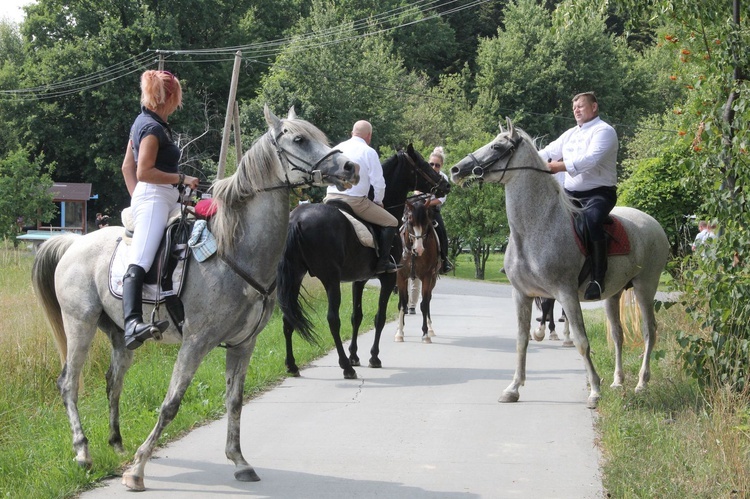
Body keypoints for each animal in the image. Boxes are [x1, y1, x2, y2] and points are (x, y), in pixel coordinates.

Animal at [30, 105, 358, 492]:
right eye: (299, 139)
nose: (350, 167)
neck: (234, 252)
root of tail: (73, 242)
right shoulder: (196, 341)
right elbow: (171, 404)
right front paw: (137, 470)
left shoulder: (243, 344)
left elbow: (235, 401)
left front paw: (239, 461)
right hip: (80, 324)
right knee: (68, 383)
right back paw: (83, 452)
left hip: (120, 335)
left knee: (113, 381)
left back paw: (117, 443)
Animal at [394, 198, 440, 344]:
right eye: (410, 221)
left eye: (426, 223)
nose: (418, 249)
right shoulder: (400, 276)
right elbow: (402, 304)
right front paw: (399, 333)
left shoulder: (427, 276)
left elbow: (424, 304)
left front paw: (425, 334)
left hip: (433, 279)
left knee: (428, 300)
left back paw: (430, 329)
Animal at [452, 119, 668, 408]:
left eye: (497, 146)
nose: (456, 169)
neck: (537, 227)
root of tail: (654, 224)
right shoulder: (521, 295)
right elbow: (522, 340)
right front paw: (513, 388)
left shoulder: (566, 294)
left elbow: (581, 341)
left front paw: (594, 391)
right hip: (613, 295)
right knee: (618, 334)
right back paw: (618, 381)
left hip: (646, 287)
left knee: (649, 332)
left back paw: (641, 384)